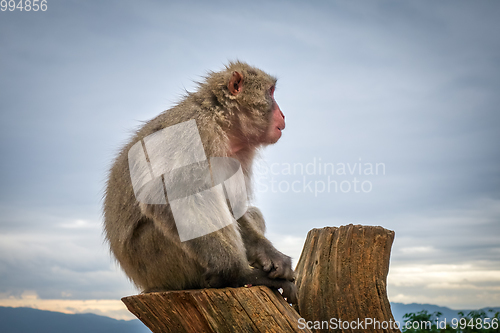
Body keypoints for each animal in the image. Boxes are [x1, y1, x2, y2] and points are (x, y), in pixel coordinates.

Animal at [102, 61, 296, 302]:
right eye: (271, 93)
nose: (283, 115)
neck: (220, 121)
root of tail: (146, 283)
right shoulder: (195, 133)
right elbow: (165, 193)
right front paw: (236, 272)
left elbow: (232, 205)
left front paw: (271, 256)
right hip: (157, 260)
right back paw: (239, 276)